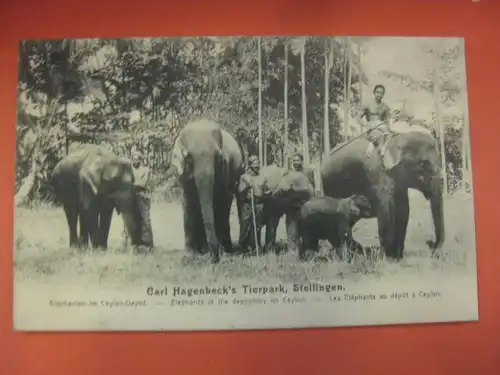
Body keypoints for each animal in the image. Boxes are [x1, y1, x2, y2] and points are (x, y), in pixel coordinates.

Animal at [170, 120, 244, 264]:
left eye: (218, 158)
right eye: (189, 158)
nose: (214, 258)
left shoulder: (224, 171)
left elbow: (222, 201)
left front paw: (223, 252)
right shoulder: (183, 175)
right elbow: (188, 203)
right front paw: (190, 255)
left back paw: (225, 249)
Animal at [320, 126, 446, 262]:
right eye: (422, 164)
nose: (431, 244)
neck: (398, 136)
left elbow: (403, 210)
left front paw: (398, 258)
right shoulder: (377, 174)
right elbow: (386, 209)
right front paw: (388, 259)